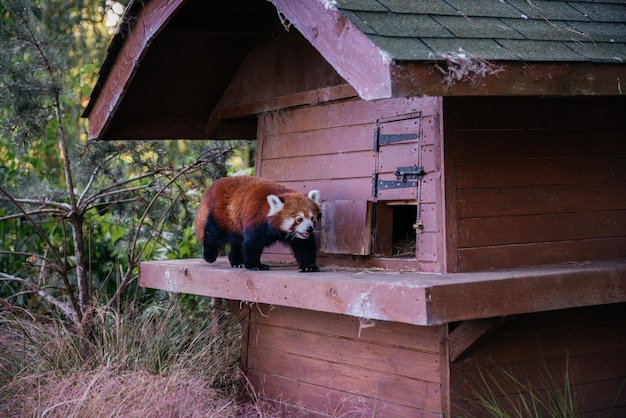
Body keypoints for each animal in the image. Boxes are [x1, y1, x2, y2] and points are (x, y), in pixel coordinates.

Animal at [194, 176, 322, 272]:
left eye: (312, 218)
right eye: (299, 219)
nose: (309, 229)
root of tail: (215, 185)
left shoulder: (297, 235)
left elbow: (304, 246)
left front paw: (308, 266)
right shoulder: (256, 221)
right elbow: (252, 244)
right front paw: (255, 265)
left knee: (237, 241)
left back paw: (237, 262)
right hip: (222, 215)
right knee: (212, 233)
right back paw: (209, 255)